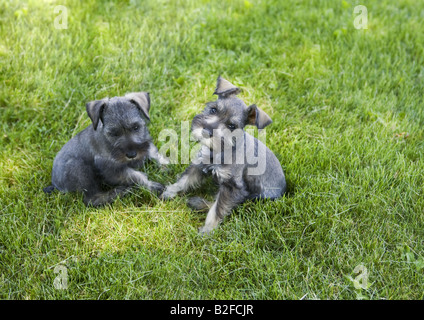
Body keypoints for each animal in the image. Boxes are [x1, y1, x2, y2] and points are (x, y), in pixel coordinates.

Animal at [161, 76, 286, 234]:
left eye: (232, 126)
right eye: (213, 109)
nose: (206, 132)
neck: (218, 150)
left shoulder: (233, 188)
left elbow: (218, 209)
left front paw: (207, 230)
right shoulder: (199, 165)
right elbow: (184, 180)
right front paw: (169, 191)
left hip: (255, 199)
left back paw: (199, 203)